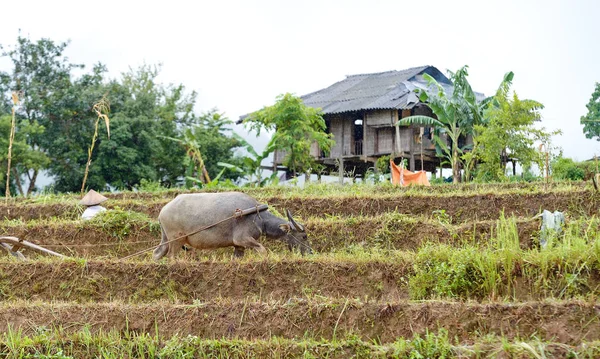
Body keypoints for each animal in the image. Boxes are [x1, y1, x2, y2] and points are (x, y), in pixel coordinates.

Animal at [152, 193, 312, 260]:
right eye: (304, 236)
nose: (310, 252)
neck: (259, 217)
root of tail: (163, 211)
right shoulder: (242, 239)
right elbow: (263, 250)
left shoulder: (239, 246)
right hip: (176, 239)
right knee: (171, 255)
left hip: (166, 239)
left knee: (157, 253)